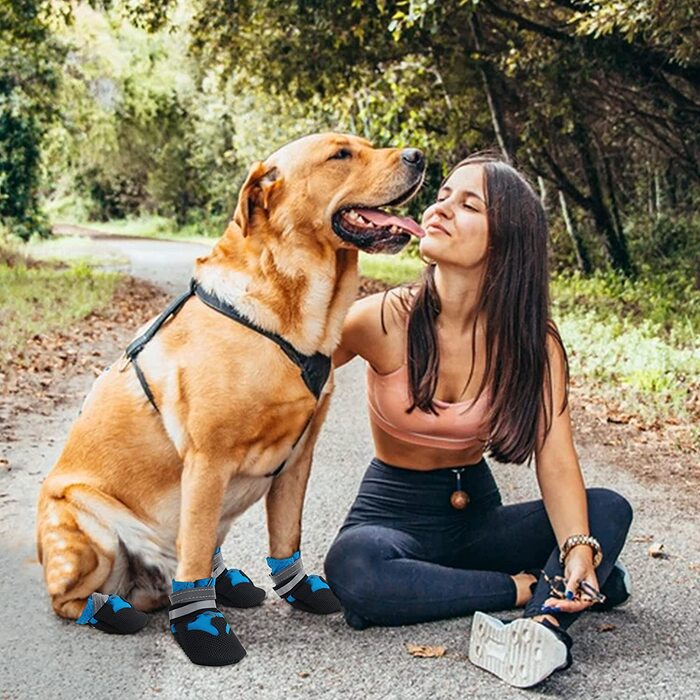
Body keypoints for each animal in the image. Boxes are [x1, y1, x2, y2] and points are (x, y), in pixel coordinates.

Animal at [37, 131, 426, 628]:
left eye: (368, 144)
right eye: (341, 154)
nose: (419, 156)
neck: (291, 313)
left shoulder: (298, 458)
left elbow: (286, 536)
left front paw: (300, 591)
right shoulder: (208, 459)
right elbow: (196, 550)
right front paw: (202, 626)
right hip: (86, 529)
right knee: (69, 599)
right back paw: (110, 610)